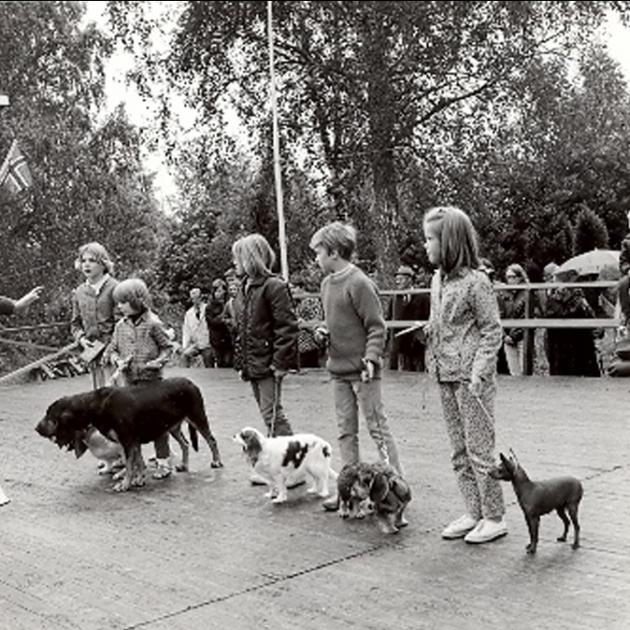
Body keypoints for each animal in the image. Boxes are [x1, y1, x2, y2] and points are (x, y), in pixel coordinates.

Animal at [35, 378, 222, 492]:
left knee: (212, 440)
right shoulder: (133, 441)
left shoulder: (127, 440)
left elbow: (130, 464)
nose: (36, 428)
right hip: (172, 427)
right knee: (185, 444)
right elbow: (138, 462)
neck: (95, 405)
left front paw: (125, 484)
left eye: (49, 415)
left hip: (197, 417)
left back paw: (217, 461)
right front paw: (139, 480)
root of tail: (191, 382)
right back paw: (184, 465)